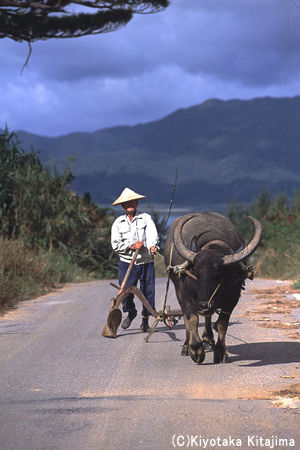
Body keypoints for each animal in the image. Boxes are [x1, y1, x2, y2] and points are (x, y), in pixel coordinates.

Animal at [164, 213, 262, 364]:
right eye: (195, 272)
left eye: (218, 272)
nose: (204, 304)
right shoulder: (184, 295)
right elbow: (191, 319)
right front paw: (196, 350)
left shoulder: (233, 297)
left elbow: (222, 323)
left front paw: (220, 352)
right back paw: (187, 346)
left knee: (208, 316)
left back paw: (208, 339)